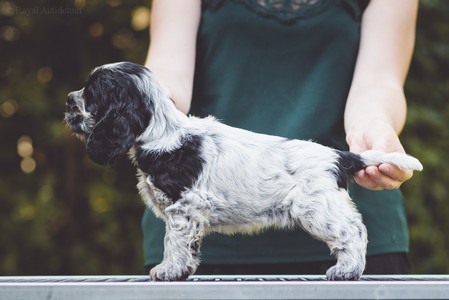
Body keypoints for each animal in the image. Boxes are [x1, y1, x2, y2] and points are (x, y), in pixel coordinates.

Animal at [65, 62, 422, 282]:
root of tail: (338, 154)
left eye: (92, 94)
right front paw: (183, 270)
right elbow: (188, 246)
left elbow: (173, 242)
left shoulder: (183, 208)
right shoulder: (190, 214)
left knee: (353, 231)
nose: (68, 100)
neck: (161, 132)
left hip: (316, 208)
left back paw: (346, 270)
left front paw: (167, 270)